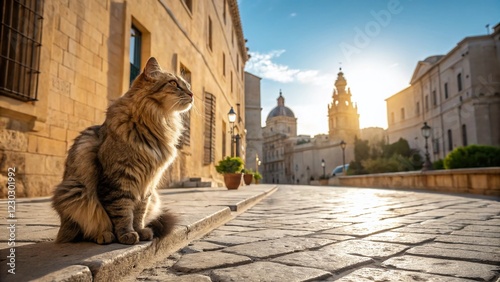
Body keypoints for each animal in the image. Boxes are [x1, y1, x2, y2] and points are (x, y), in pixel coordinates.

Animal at [52, 57, 193, 245]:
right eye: (173, 83)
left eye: (188, 86)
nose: (192, 94)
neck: (160, 121)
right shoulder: (119, 179)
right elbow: (122, 211)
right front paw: (127, 234)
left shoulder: (148, 184)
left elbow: (139, 212)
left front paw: (140, 231)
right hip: (75, 191)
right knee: (84, 231)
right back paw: (103, 235)